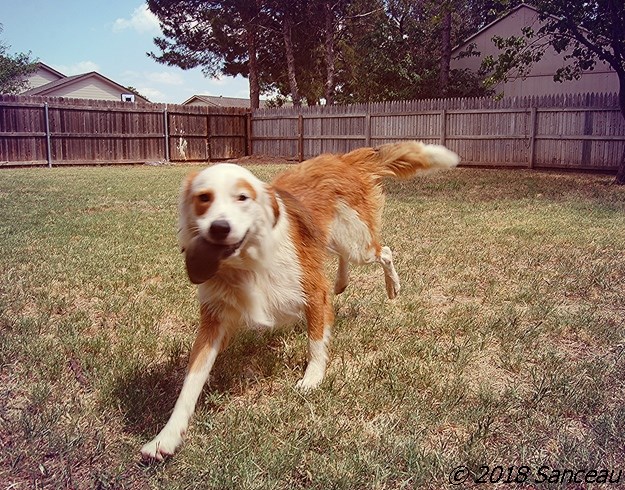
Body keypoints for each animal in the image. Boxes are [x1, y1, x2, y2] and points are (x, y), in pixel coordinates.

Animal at [140, 141, 459, 460]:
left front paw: (312, 379)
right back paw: (341, 282)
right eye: (203, 198)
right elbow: (191, 381)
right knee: (342, 256)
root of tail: (341, 159)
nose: (219, 227)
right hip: (336, 239)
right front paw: (166, 437)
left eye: (242, 197)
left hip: (357, 242)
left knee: (385, 252)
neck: (247, 261)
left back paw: (392, 286)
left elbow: (316, 341)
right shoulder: (215, 317)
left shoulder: (312, 291)